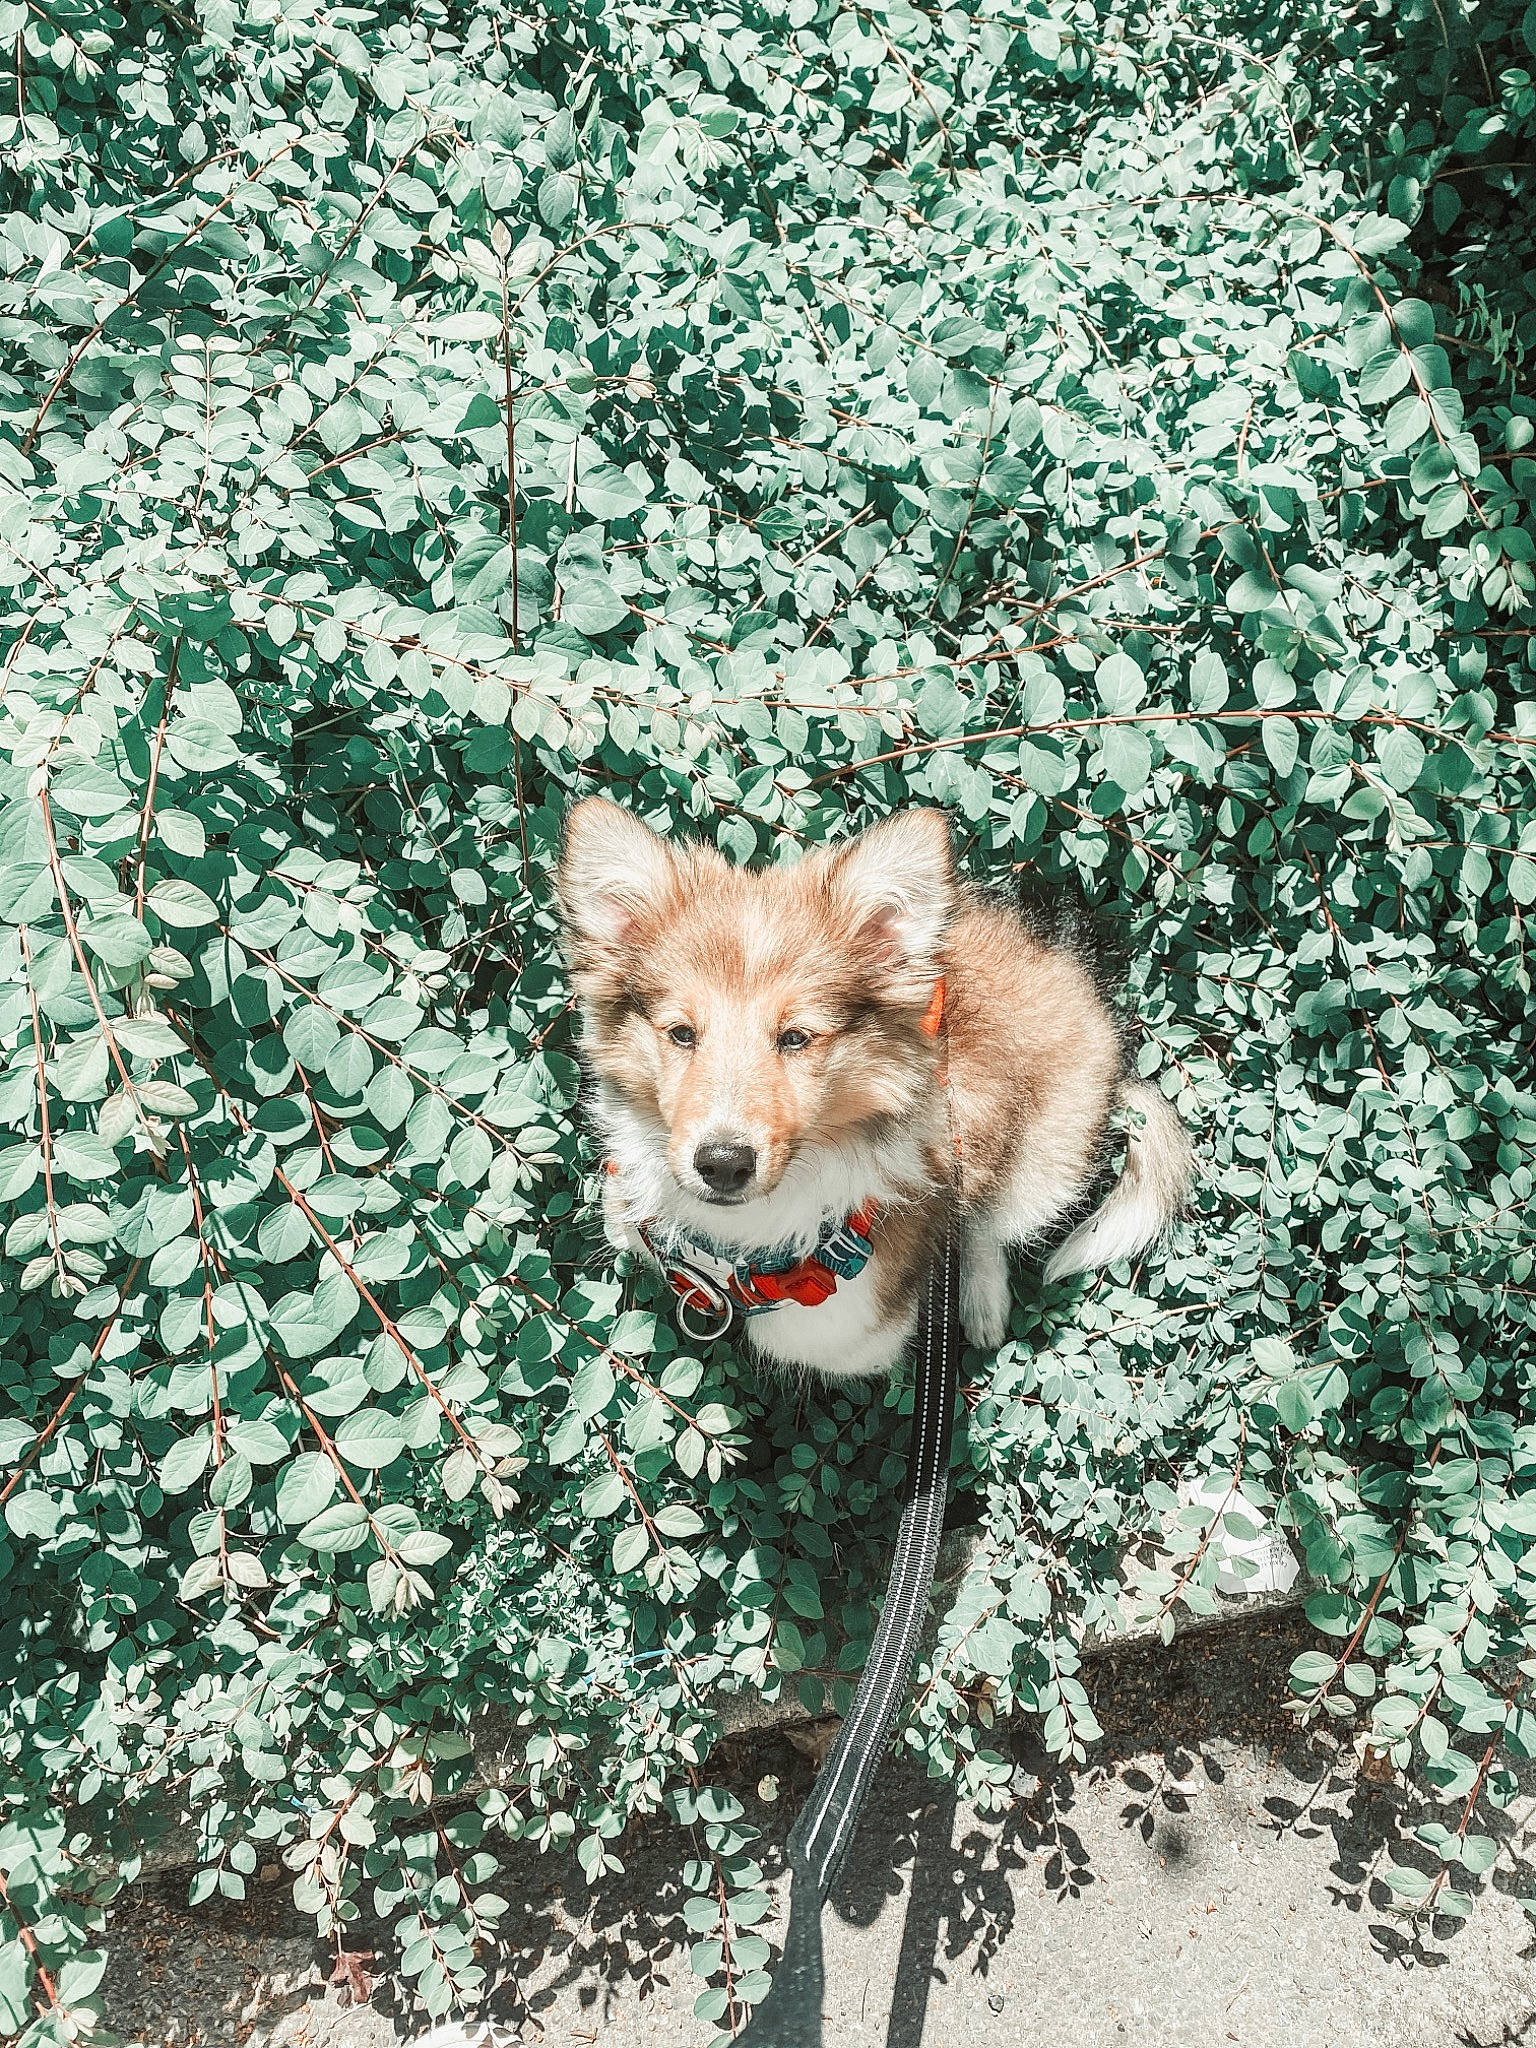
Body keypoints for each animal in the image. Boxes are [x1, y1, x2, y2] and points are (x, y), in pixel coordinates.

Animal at [555, 799, 1192, 1379]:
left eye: (796, 1037)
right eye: (681, 1033)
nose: (723, 1164)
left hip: (1043, 1159)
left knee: (989, 1222)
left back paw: (983, 1303)